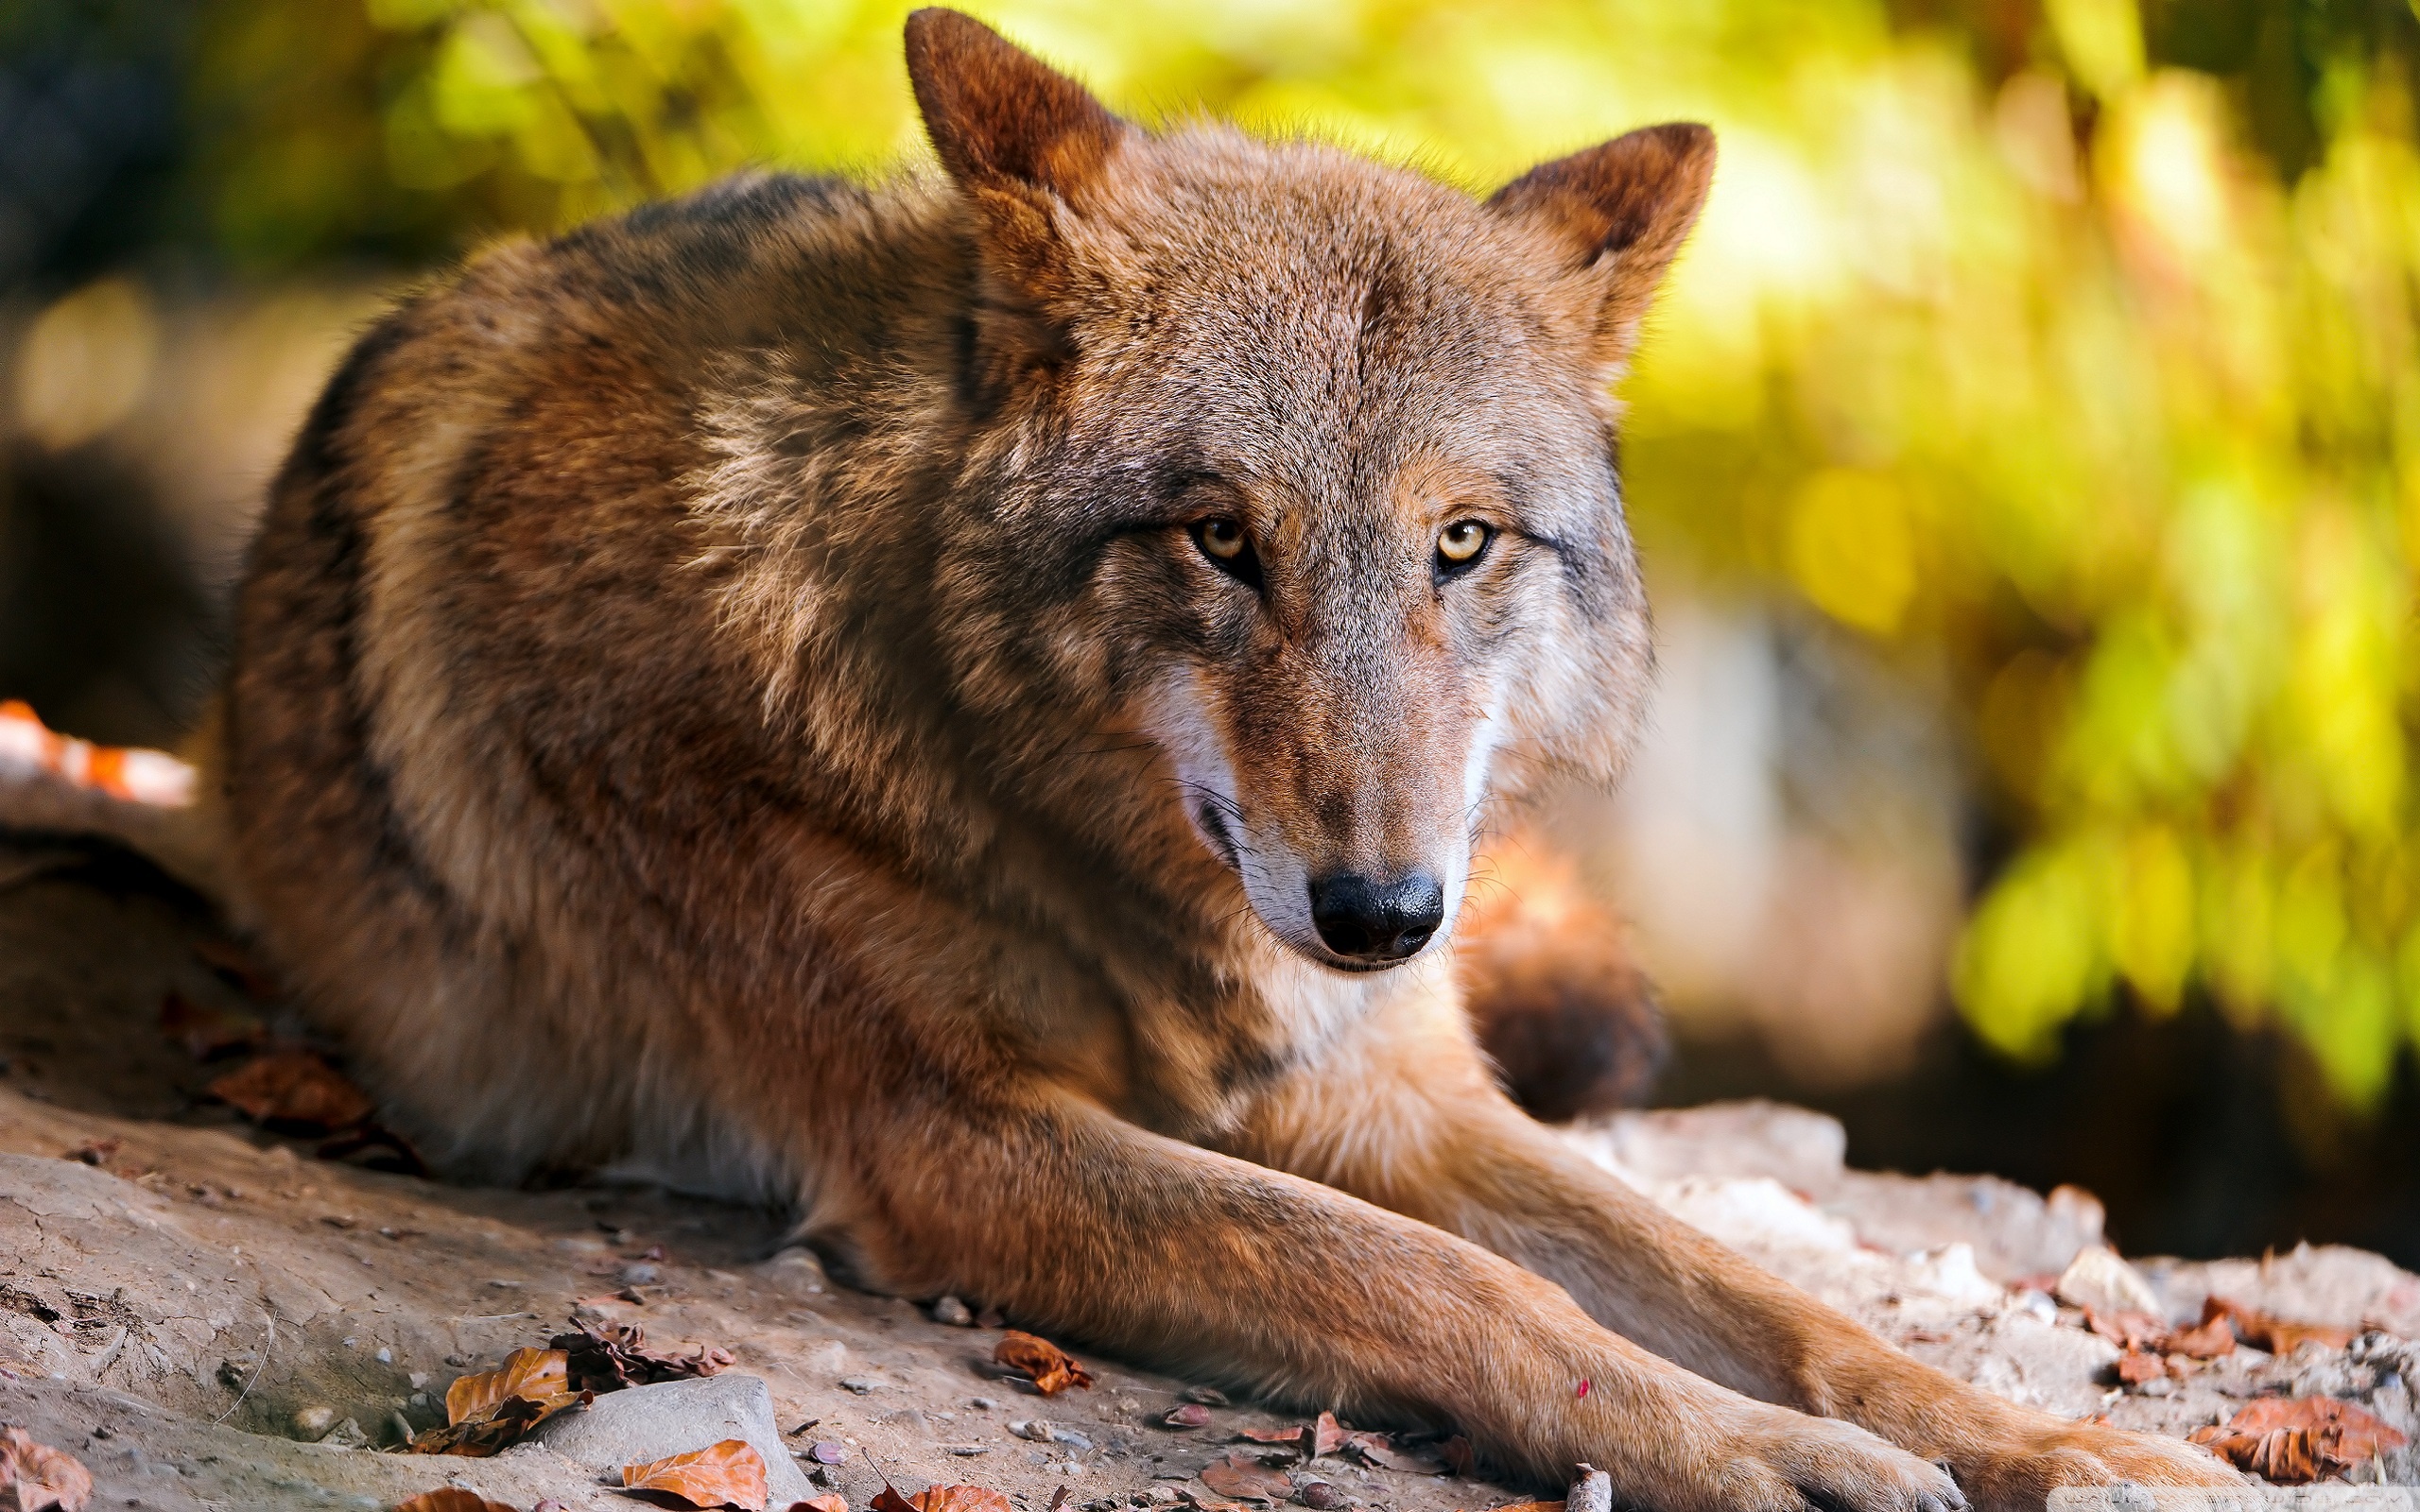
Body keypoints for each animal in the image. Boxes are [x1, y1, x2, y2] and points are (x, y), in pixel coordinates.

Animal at [9, 11, 2236, 1509]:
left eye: (1460, 542)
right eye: (1219, 537)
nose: (1381, 913)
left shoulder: (1388, 1093)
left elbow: (1782, 1300)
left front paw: (2049, 1443)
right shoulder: (958, 1141)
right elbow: (1456, 1291)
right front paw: (1755, 1456)